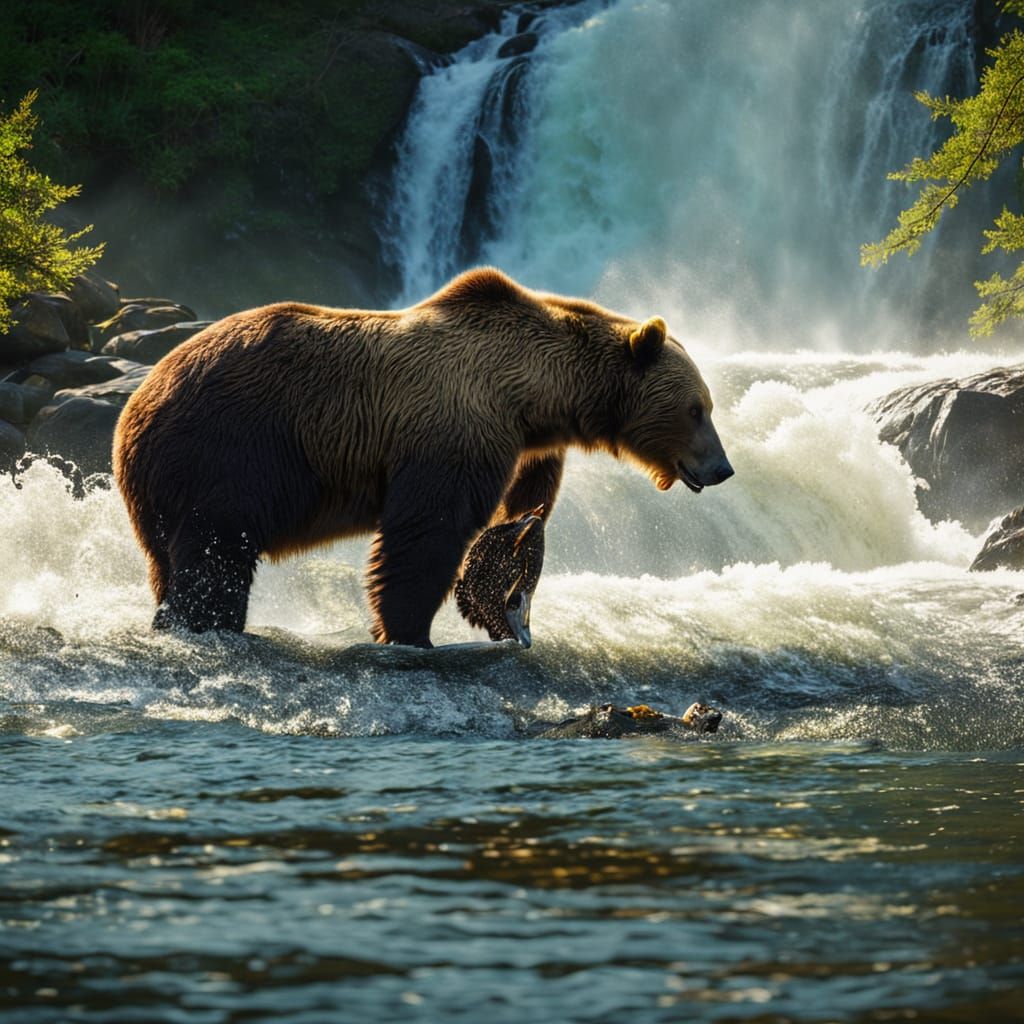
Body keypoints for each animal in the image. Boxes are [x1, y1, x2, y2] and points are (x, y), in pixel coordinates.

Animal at [113, 267, 733, 646]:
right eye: (697, 409)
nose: (722, 468)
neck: (535, 396)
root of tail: (137, 405)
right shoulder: (454, 427)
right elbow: (426, 531)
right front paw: (410, 629)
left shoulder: (532, 447)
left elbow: (522, 508)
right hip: (229, 451)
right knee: (217, 551)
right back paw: (208, 624)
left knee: (169, 561)